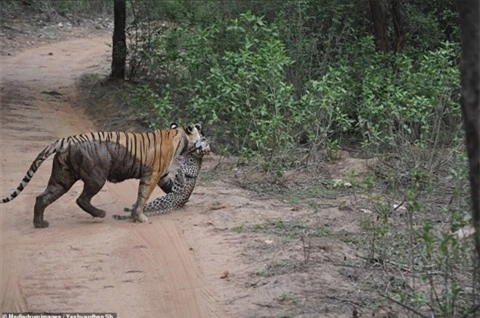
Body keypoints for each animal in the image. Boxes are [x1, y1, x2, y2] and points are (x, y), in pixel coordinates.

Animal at [0, 122, 204, 229]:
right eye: (202, 135)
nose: (206, 141)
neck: (178, 137)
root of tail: (66, 140)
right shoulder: (152, 175)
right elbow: (143, 196)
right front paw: (140, 217)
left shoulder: (162, 174)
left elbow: (170, 187)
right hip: (96, 177)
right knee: (81, 199)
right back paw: (100, 213)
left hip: (62, 178)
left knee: (42, 197)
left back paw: (40, 223)